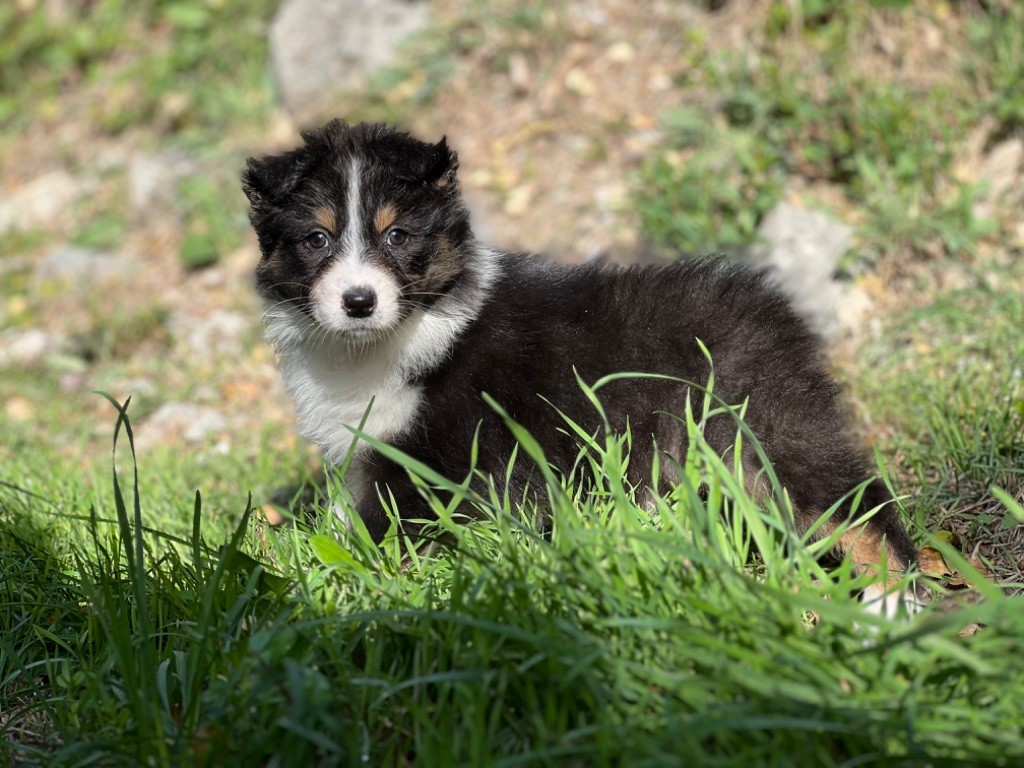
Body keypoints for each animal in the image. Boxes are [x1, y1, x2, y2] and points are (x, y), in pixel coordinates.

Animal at [245, 117, 921, 618]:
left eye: (397, 236)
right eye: (316, 239)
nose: (359, 301)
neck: (384, 342)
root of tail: (772, 306)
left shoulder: (434, 464)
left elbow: (384, 536)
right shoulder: (369, 452)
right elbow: (343, 522)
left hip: (760, 425)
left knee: (855, 507)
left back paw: (892, 603)